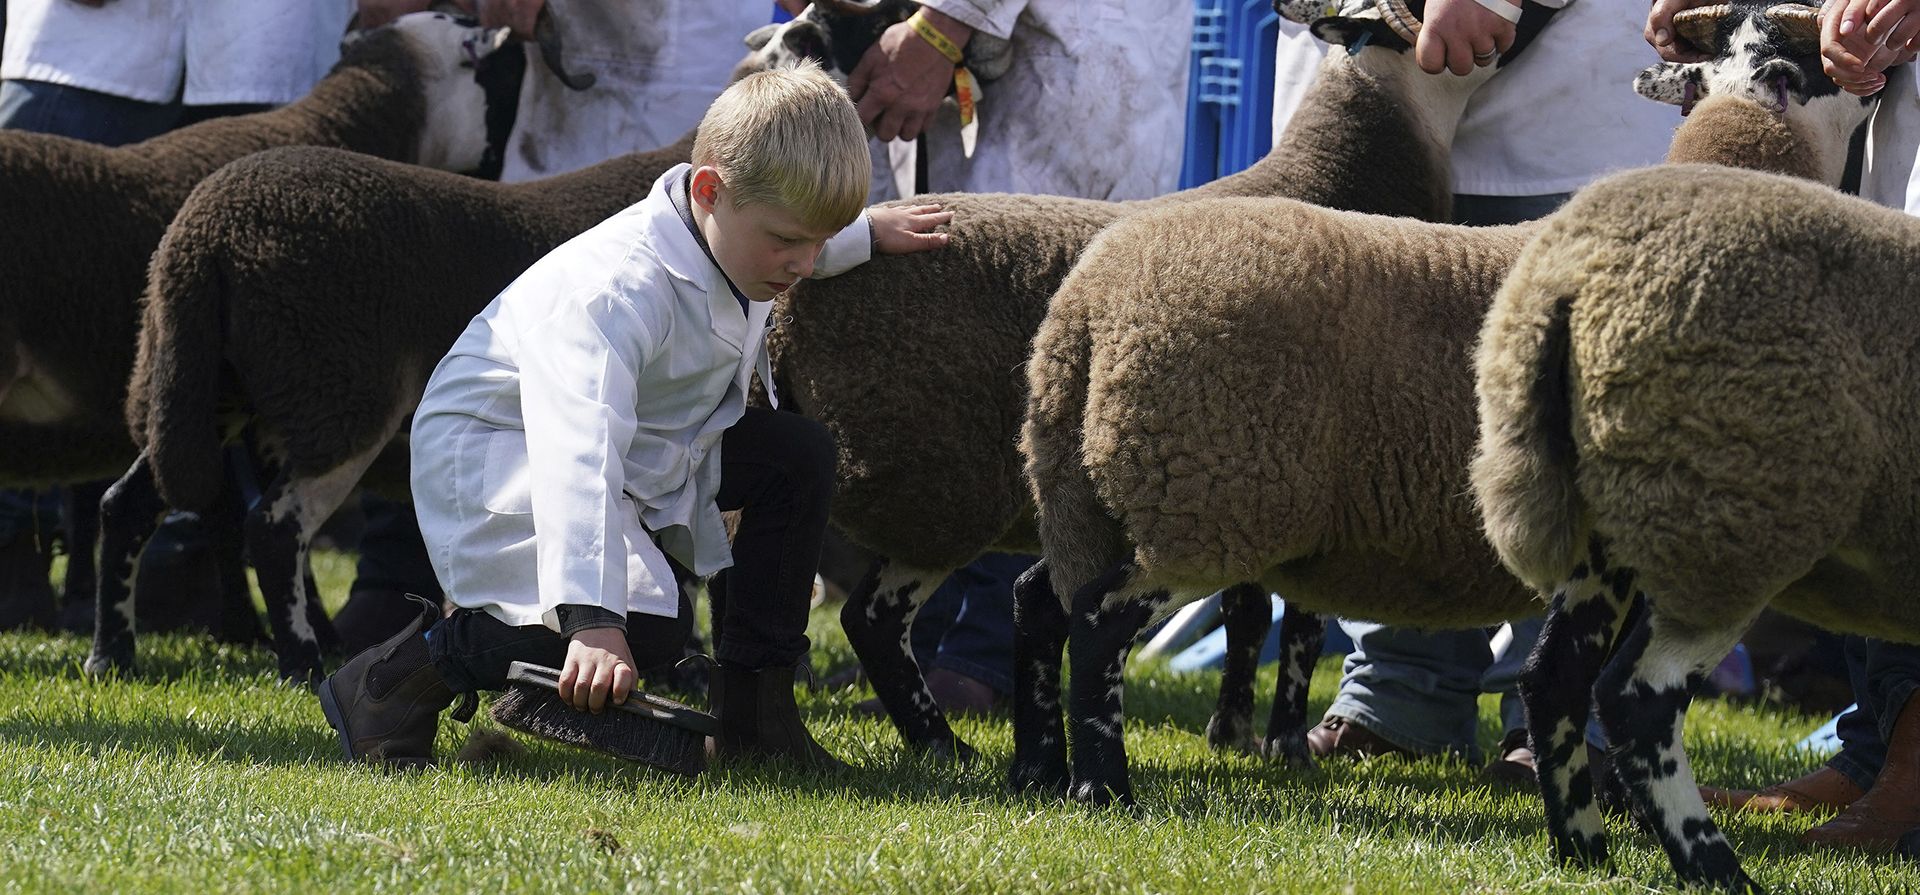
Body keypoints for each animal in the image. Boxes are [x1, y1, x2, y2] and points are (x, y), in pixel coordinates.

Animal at [0, 11, 536, 633]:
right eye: (504, 76)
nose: (503, 172)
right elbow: (243, 517)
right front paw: (279, 627)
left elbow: (222, 511)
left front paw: (250, 624)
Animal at [772, 0, 1569, 762]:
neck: (1346, 169)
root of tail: (787, 302)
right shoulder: (1312, 466)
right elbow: (1302, 623)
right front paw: (1285, 744)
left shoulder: (1246, 471)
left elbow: (1249, 609)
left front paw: (1233, 731)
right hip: (939, 484)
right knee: (872, 616)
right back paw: (943, 741)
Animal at [1008, 0, 1864, 810]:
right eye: (1809, 61)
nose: (1873, 66)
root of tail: (1086, 309)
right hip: (1209, 496)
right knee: (1099, 624)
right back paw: (1104, 785)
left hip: (1100, 494)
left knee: (1043, 602)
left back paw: (1038, 768)